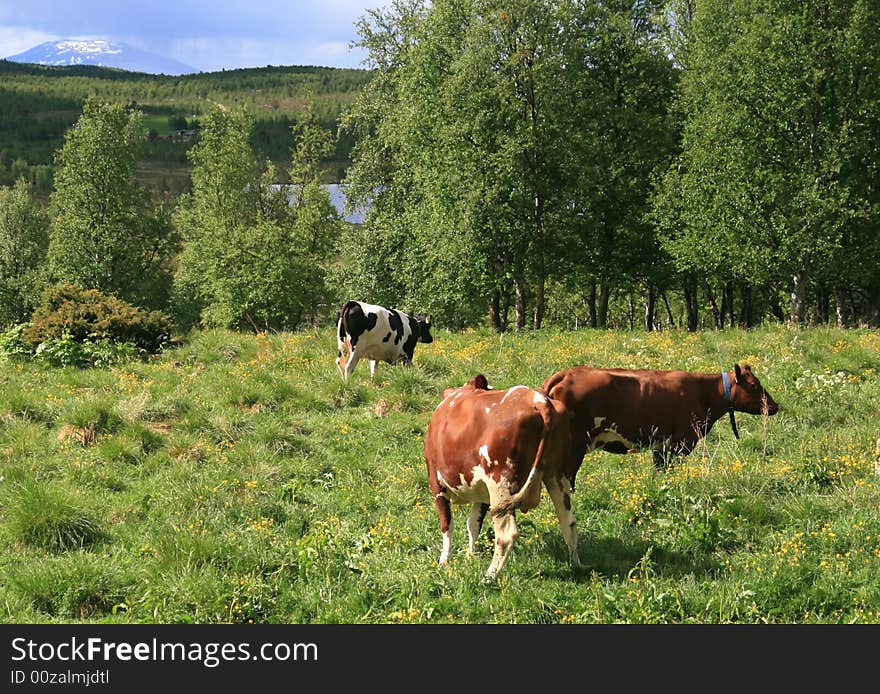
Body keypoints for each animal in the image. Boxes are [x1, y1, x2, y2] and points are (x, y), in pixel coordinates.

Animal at [424, 376, 580, 580]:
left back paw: (489, 576)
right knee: (568, 521)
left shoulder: (436, 484)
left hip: (500, 482)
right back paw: (576, 565)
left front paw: (444, 561)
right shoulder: (482, 492)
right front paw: (469, 555)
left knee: (506, 534)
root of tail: (539, 399)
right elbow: (473, 523)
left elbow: (447, 525)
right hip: (556, 475)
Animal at [544, 364, 776, 478]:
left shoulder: (661, 446)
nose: (774, 406)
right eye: (754, 385)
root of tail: (568, 373)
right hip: (574, 446)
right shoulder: (680, 444)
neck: (704, 392)